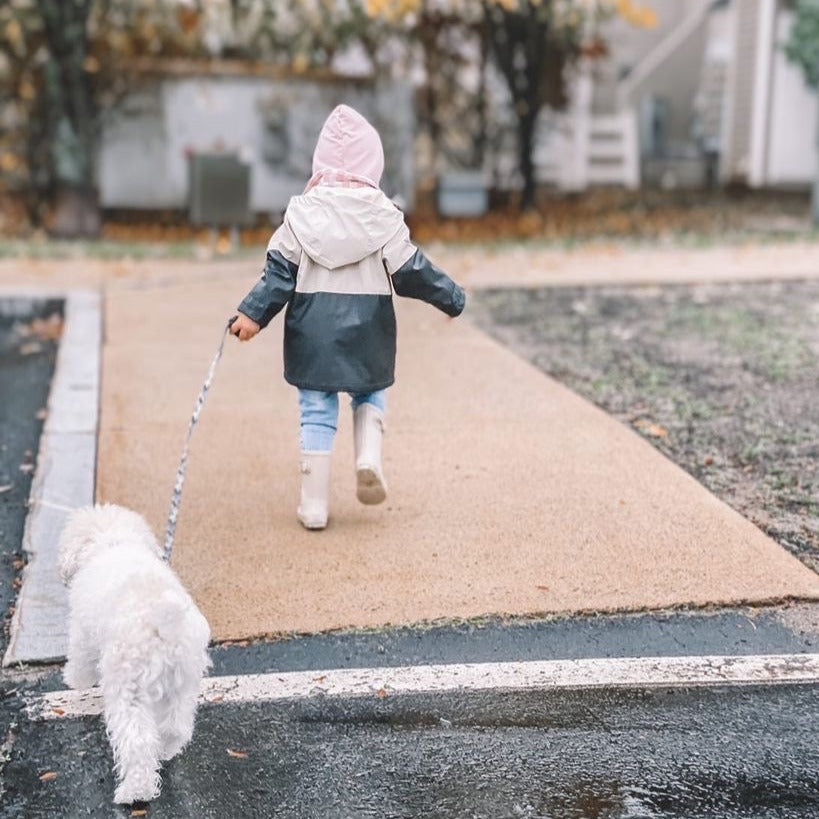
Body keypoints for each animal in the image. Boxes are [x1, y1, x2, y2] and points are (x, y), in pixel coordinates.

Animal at [57, 502, 211, 804]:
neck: (111, 540)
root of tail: (161, 624)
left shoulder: (82, 632)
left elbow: (79, 661)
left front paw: (74, 681)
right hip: (182, 684)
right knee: (176, 727)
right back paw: (165, 750)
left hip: (129, 688)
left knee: (138, 741)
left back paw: (135, 791)